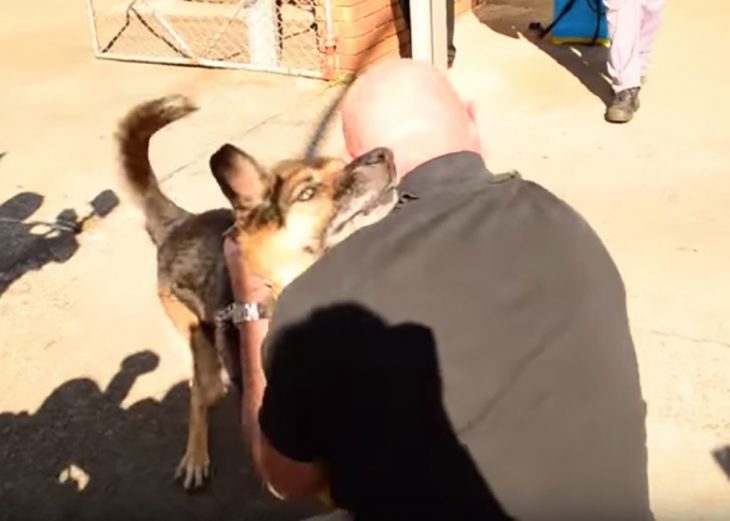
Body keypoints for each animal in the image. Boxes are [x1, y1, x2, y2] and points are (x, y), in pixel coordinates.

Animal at [116, 95, 396, 490]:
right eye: (308, 193)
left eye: (340, 166)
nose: (384, 154)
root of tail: (179, 221)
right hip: (200, 350)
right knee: (198, 393)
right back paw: (195, 456)